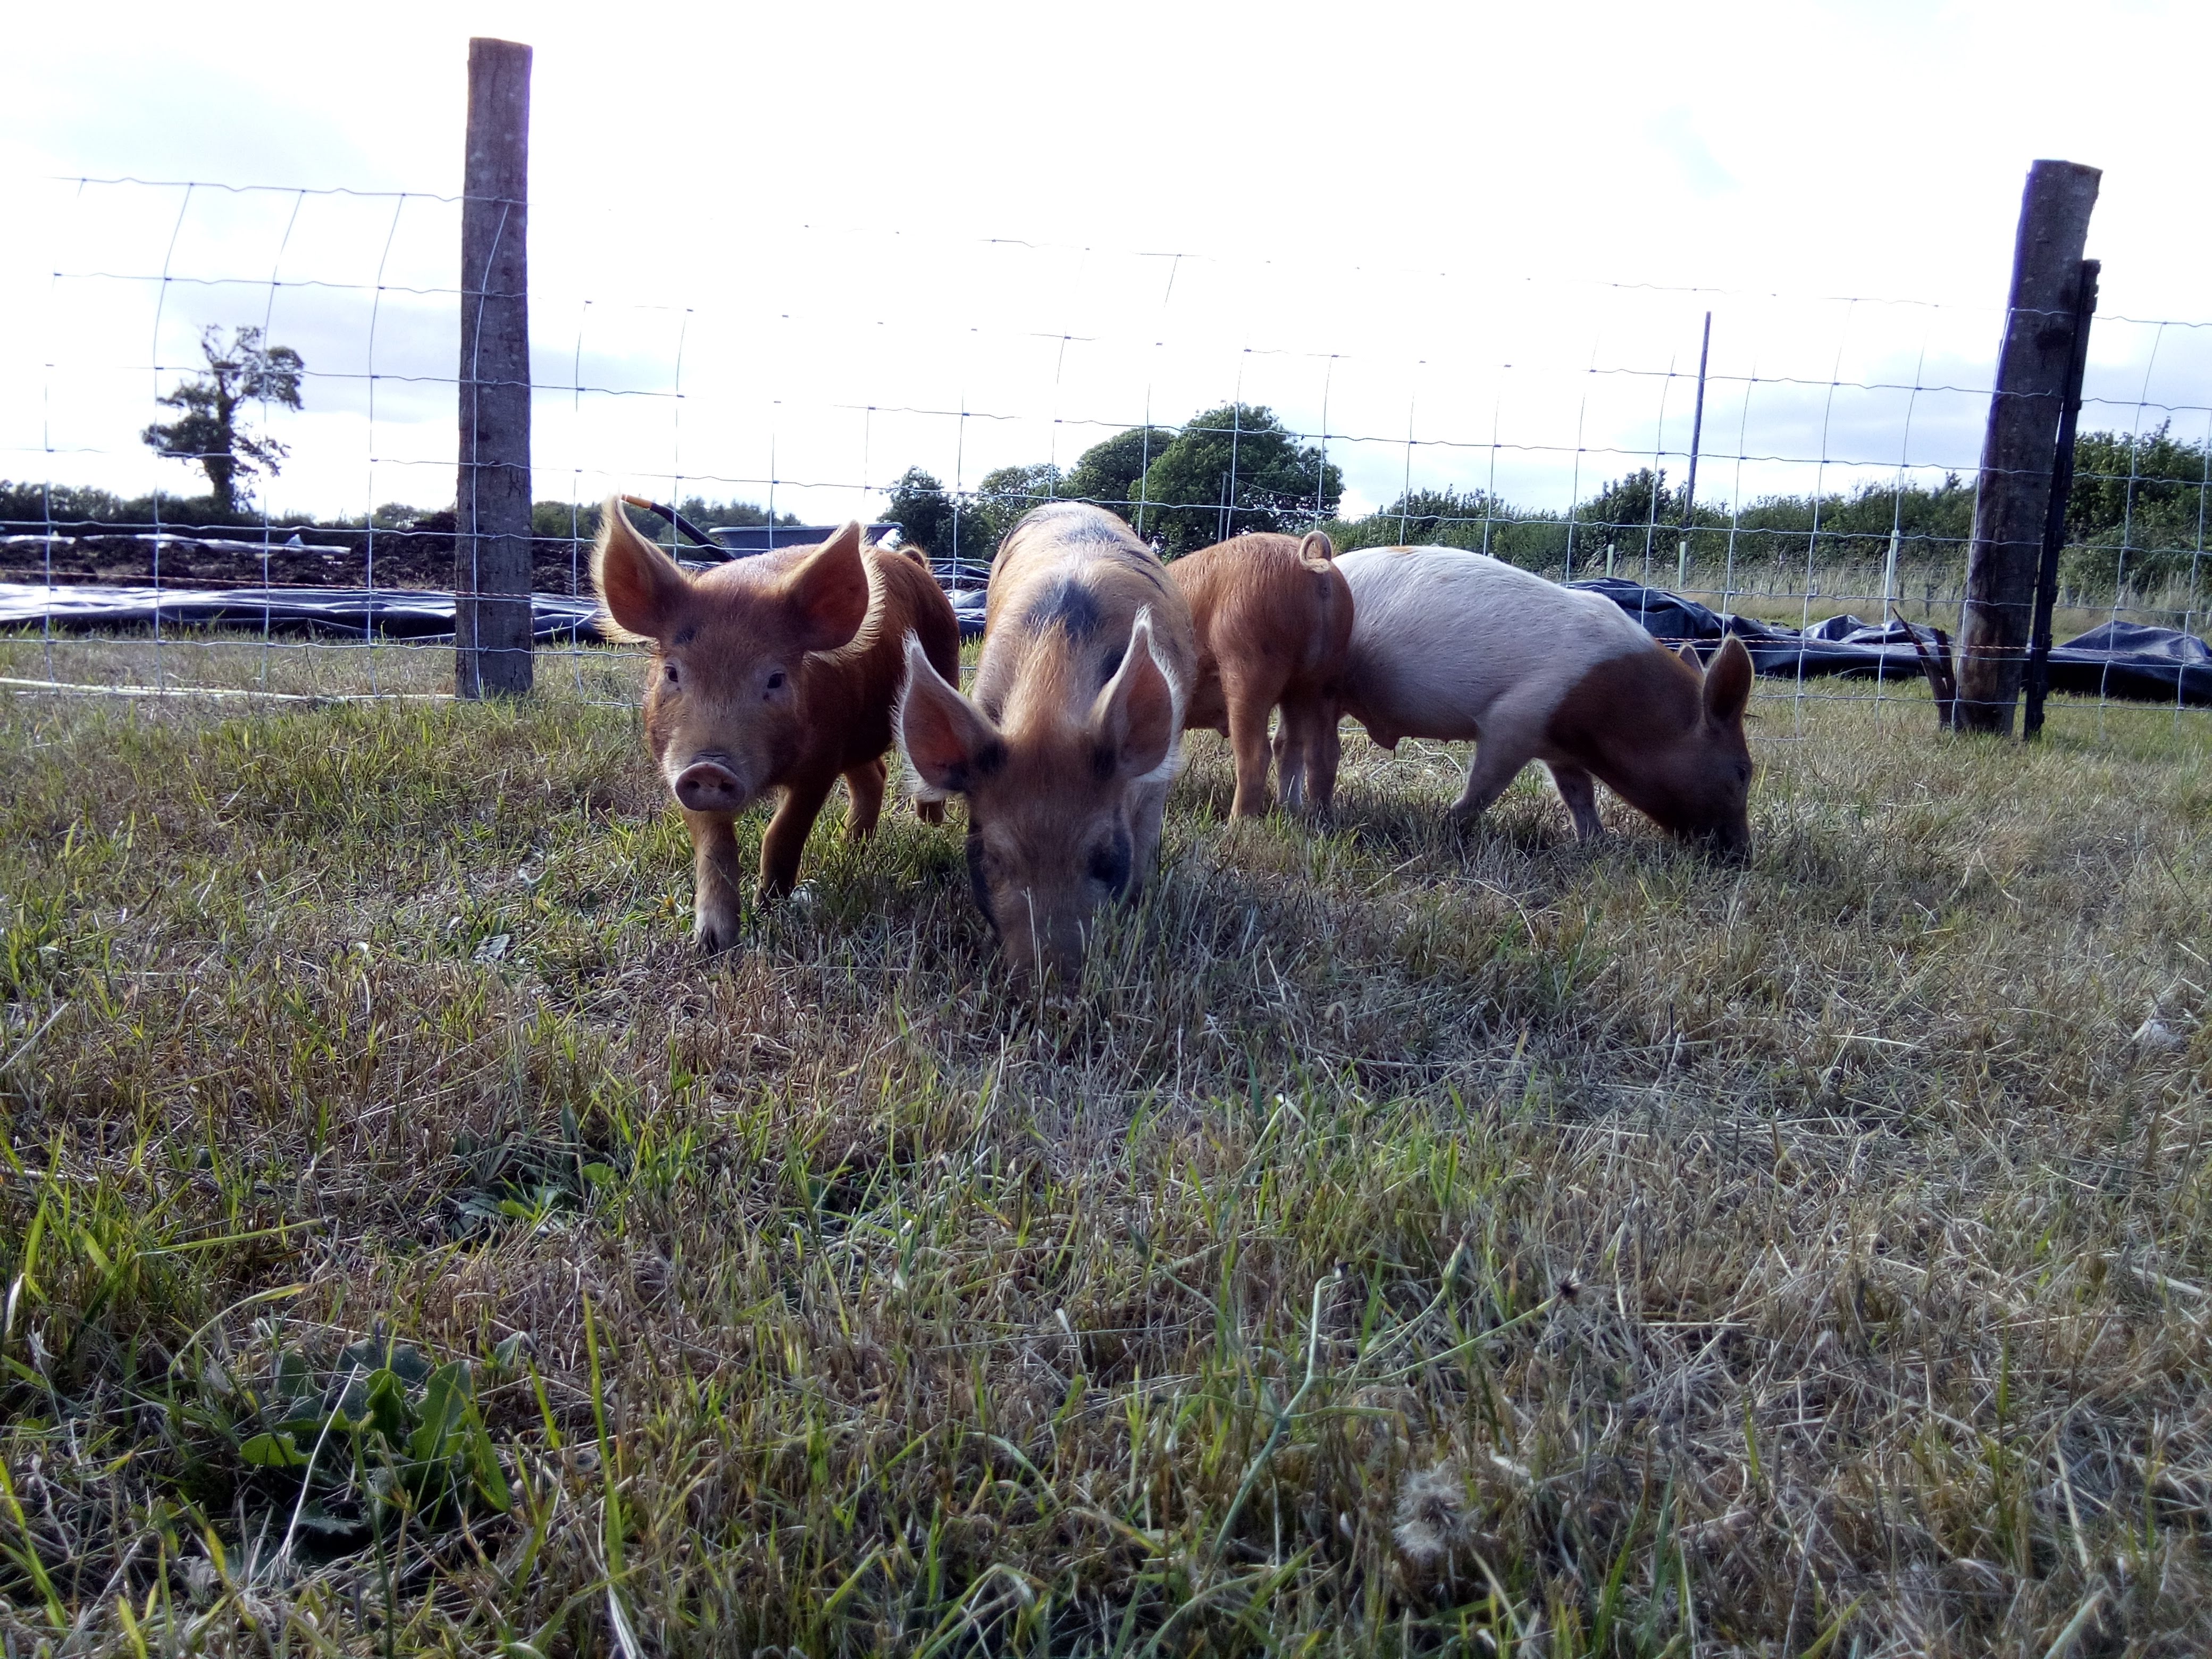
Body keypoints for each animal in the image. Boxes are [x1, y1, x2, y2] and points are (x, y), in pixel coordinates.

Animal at [592, 500, 962, 949]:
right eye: (673, 673)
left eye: (775, 679)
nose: (709, 767)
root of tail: (917, 565)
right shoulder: (676, 765)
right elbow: (715, 847)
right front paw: (712, 942)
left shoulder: (821, 759)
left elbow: (784, 831)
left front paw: (769, 907)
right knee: (873, 775)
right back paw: (852, 849)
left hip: (942, 672)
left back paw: (929, 825)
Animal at [1169, 529, 1355, 818]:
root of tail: (1314, 565)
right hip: (1323, 676)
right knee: (1322, 750)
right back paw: (1316, 817)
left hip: (1248, 665)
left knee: (1256, 753)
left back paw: (1237, 821)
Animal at [1337, 546, 1756, 854]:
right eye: (1743, 773)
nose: (1743, 855)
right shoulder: (1517, 717)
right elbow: (1486, 784)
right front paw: (1448, 823)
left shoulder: (1559, 750)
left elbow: (1579, 794)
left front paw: (1597, 843)